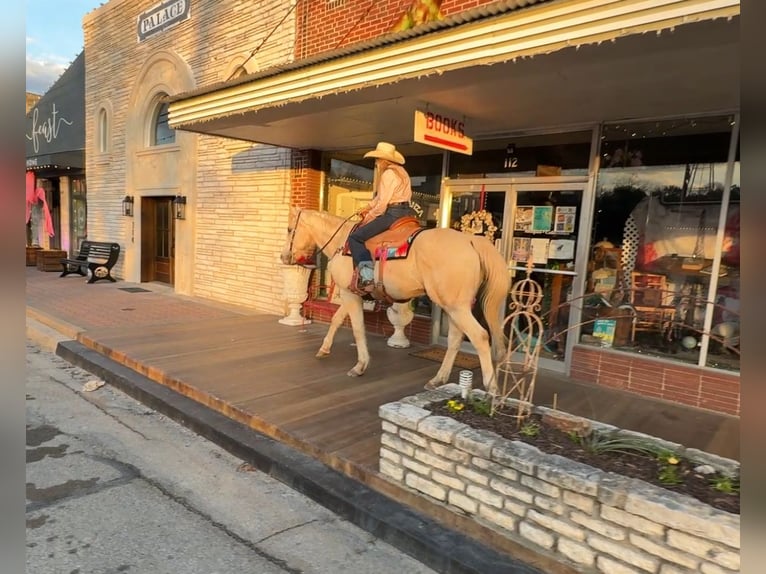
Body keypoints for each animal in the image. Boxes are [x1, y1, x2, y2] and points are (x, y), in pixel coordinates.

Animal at [280, 206, 510, 392]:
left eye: (290, 229)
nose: (284, 257)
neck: (342, 241)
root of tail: (471, 240)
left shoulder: (349, 294)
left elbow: (357, 328)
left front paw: (360, 366)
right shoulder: (351, 294)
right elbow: (336, 320)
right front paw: (324, 349)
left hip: (457, 308)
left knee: (480, 336)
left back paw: (491, 388)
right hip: (454, 306)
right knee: (455, 339)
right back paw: (438, 379)